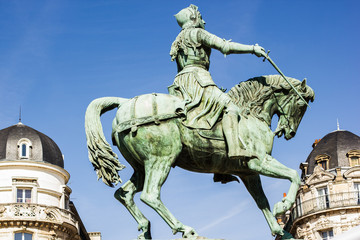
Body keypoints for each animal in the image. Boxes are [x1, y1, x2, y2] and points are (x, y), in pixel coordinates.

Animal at [84, 74, 312, 238]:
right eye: (302, 106)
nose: (290, 132)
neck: (249, 115)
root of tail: (125, 104)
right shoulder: (259, 162)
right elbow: (293, 175)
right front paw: (283, 205)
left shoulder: (248, 173)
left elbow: (261, 200)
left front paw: (280, 231)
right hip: (161, 158)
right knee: (150, 195)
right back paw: (184, 229)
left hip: (141, 167)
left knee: (124, 194)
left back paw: (145, 228)